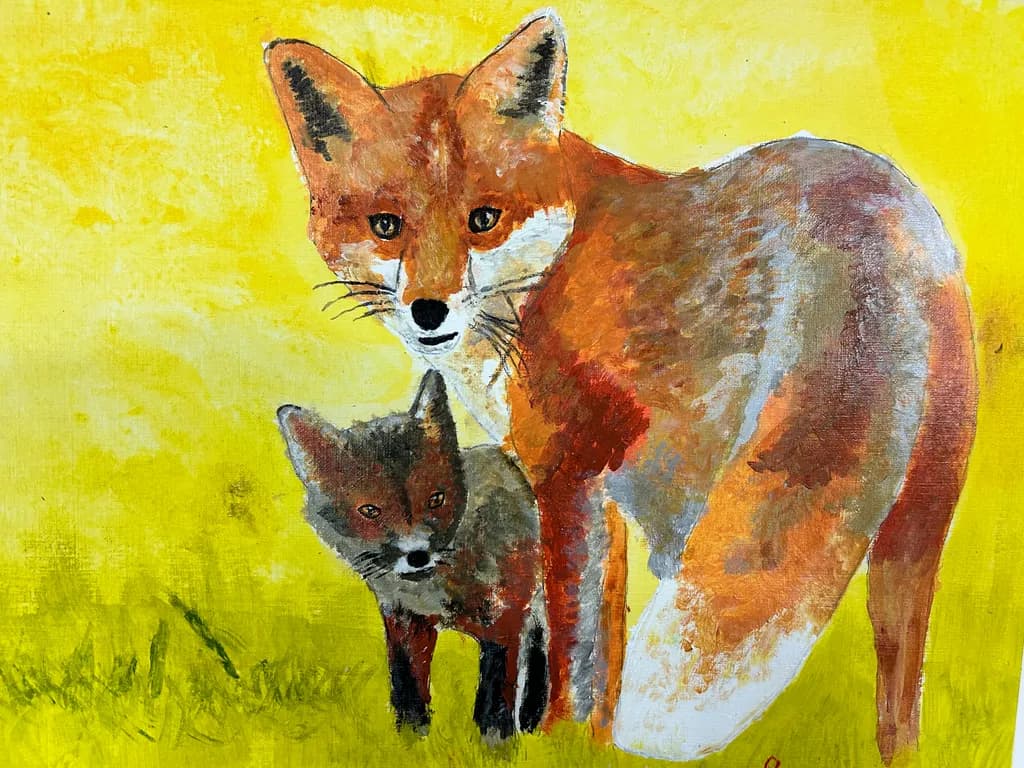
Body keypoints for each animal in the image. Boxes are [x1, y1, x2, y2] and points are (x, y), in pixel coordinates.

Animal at [276, 370, 548, 741]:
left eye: (436, 499)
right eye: (370, 511)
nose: (417, 555)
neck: (437, 590)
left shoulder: (504, 617)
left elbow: (496, 695)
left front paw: (496, 742)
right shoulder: (405, 622)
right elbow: (408, 689)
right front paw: (411, 741)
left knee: (539, 648)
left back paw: (533, 716)